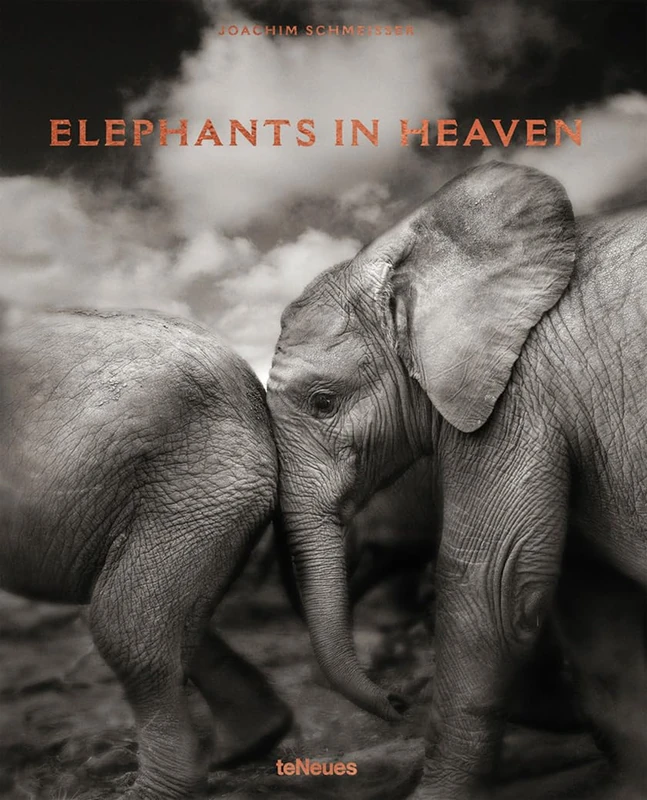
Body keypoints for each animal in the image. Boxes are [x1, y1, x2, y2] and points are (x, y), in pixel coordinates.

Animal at [0, 307, 292, 799]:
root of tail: (255, 398)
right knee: (169, 621)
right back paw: (248, 745)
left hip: (193, 490)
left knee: (125, 627)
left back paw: (151, 789)